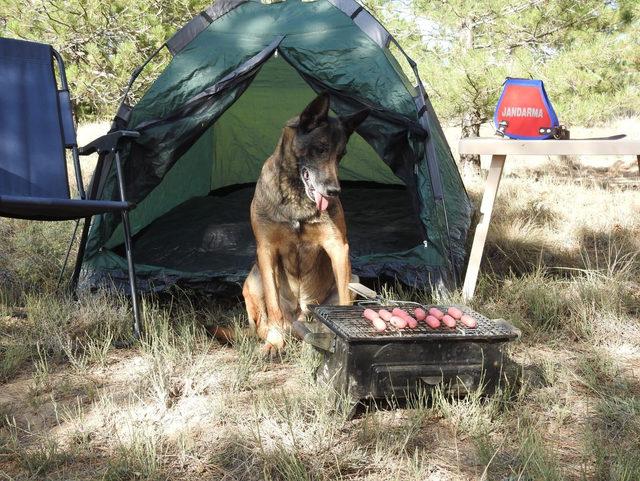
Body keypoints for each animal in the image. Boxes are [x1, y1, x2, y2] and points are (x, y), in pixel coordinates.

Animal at [242, 93, 368, 352]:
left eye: (341, 155)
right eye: (320, 149)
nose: (334, 192)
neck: (296, 195)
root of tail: (296, 317)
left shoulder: (338, 247)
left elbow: (343, 302)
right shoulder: (266, 250)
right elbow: (273, 305)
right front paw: (275, 342)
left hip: (353, 279)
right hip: (252, 279)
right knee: (263, 322)